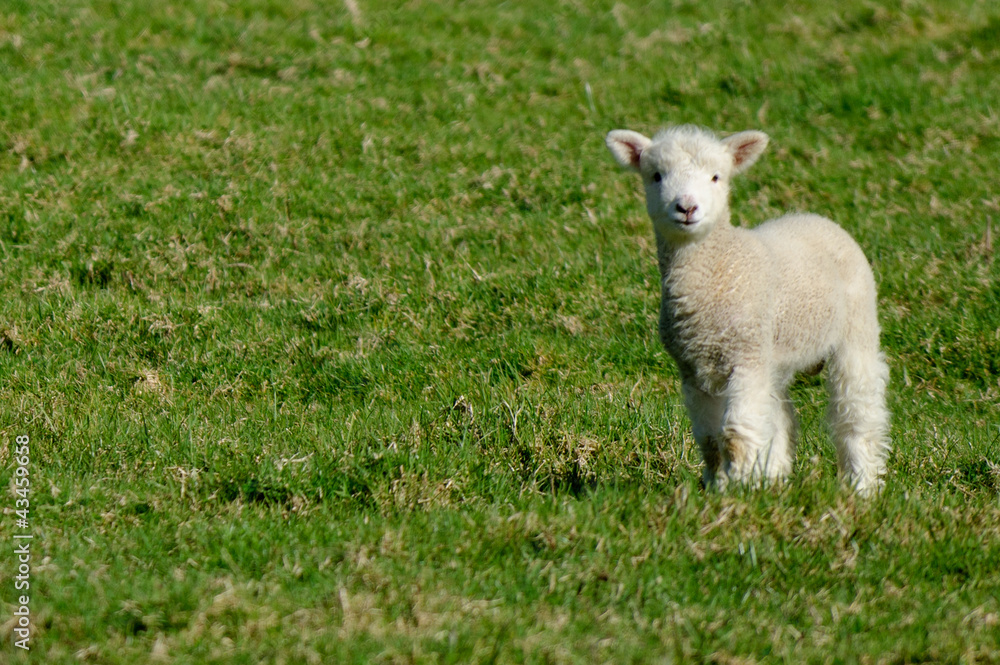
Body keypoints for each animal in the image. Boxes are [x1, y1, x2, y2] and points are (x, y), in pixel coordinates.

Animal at [604, 124, 888, 492]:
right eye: (656, 176)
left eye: (716, 177)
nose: (686, 207)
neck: (717, 270)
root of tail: (814, 217)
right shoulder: (693, 369)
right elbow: (710, 438)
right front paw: (717, 484)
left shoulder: (745, 357)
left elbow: (735, 432)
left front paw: (736, 482)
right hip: (773, 354)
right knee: (780, 415)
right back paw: (775, 478)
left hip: (857, 326)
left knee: (857, 409)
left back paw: (862, 484)